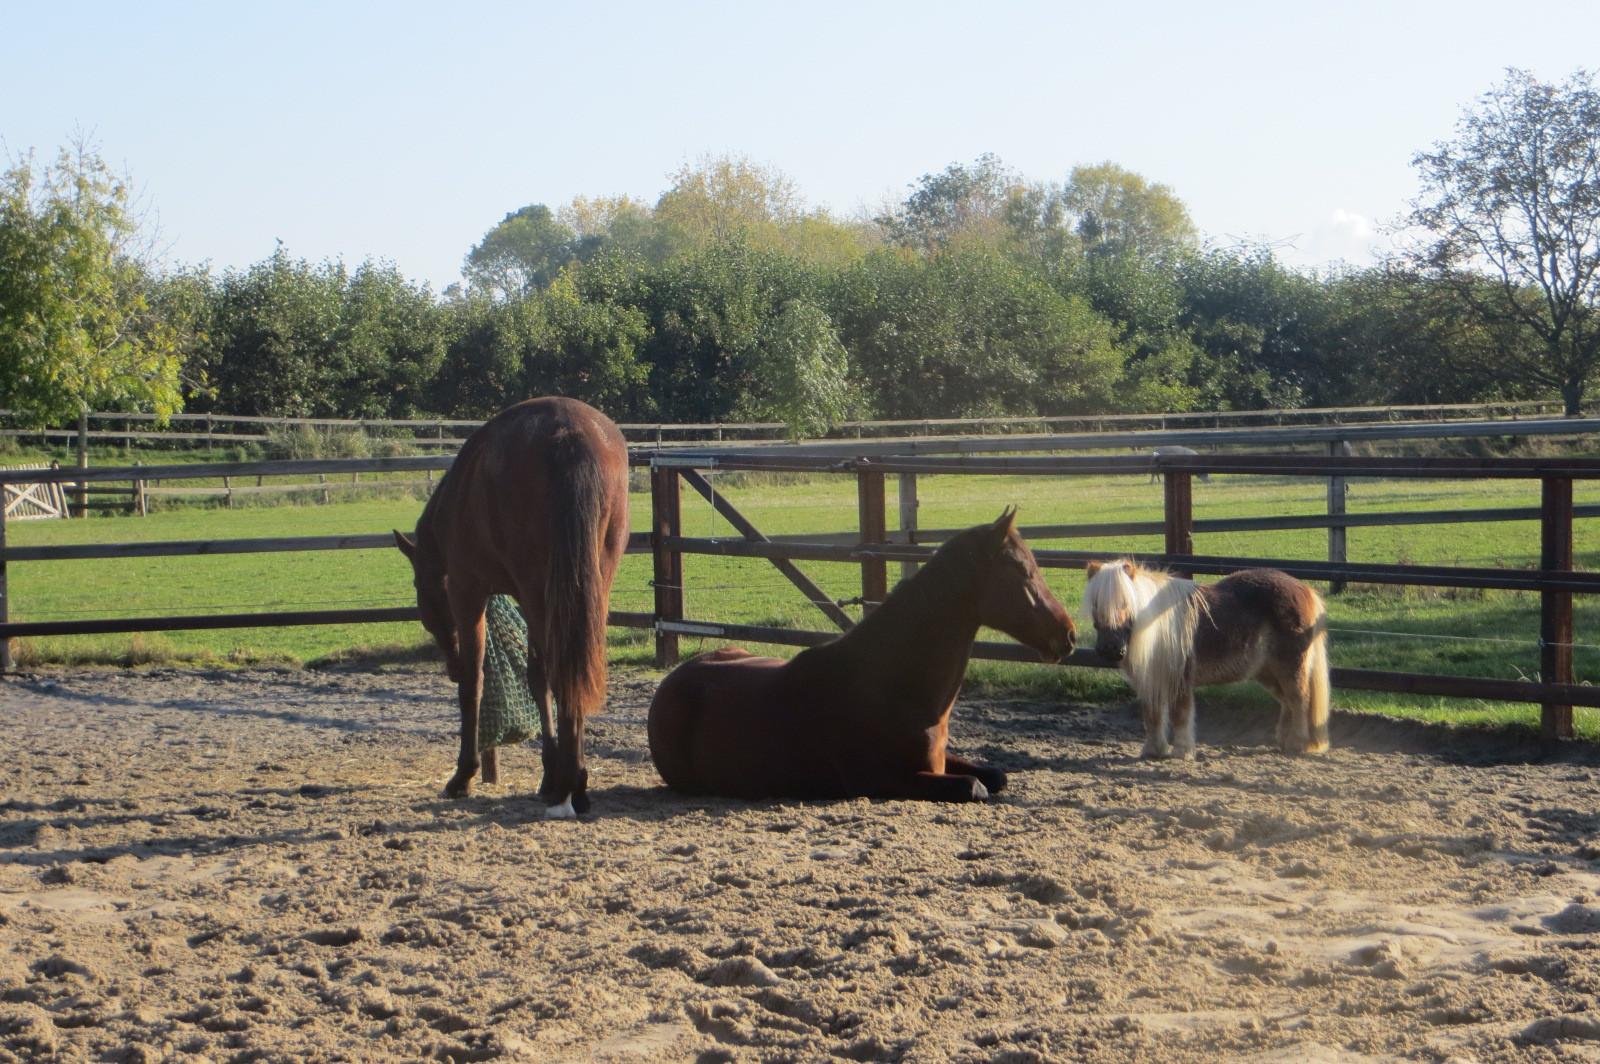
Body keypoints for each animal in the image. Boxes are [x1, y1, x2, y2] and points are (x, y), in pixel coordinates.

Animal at [394, 397, 630, 818]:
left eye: (421, 588)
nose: (448, 665)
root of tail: (568, 433)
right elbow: (535, 677)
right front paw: (549, 771)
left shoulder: (469, 592)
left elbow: (475, 680)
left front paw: (464, 774)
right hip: (589, 585)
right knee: (570, 670)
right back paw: (572, 781)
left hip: (538, 591)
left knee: (558, 670)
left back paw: (570, 782)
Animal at [646, 509, 1076, 802]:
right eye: (1021, 570)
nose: (1068, 635)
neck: (896, 685)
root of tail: (669, 687)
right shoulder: (878, 778)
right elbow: (974, 787)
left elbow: (996, 775)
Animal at [1082, 559, 1329, 759]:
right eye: (1095, 604)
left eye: (1125, 604)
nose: (1110, 649)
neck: (1155, 625)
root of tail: (1305, 589)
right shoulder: (1150, 681)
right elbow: (1152, 717)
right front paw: (1153, 750)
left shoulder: (1179, 680)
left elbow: (1180, 715)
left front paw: (1182, 752)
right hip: (1268, 673)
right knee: (1287, 702)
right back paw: (1283, 741)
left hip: (1291, 668)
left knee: (1299, 700)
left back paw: (1297, 744)